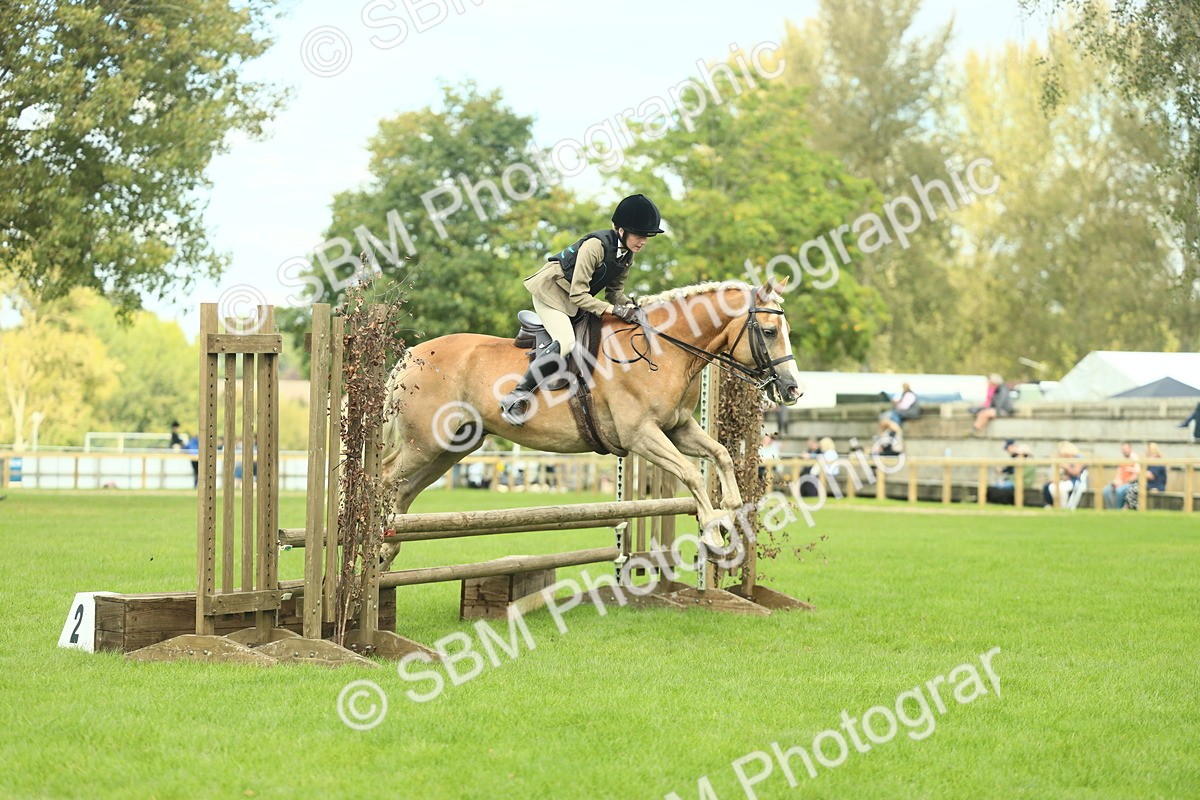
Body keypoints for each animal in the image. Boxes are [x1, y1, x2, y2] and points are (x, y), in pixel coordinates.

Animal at [378, 279, 804, 568]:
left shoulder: (678, 428)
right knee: (385, 478)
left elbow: (721, 456)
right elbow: (691, 474)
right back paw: (375, 548)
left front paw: (730, 515)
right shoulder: (642, 436)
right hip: (424, 444)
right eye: (769, 332)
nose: (793, 389)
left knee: (403, 490)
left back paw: (387, 551)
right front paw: (714, 532)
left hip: (453, 446)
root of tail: (411, 354)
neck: (662, 350)